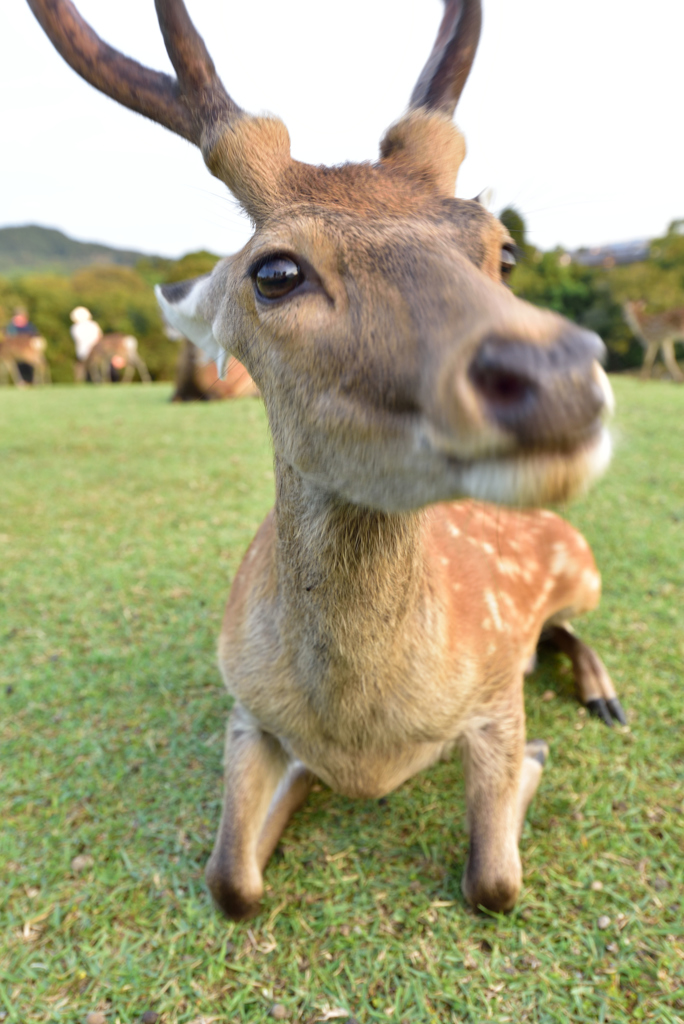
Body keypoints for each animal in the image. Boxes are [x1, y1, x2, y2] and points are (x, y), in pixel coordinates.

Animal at [26, 0, 626, 921]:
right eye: (275, 271)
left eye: (505, 250)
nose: (559, 376)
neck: (362, 731)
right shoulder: (241, 704)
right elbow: (230, 880)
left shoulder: (494, 695)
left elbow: (494, 880)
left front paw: (529, 767)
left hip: (582, 563)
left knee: (567, 626)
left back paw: (602, 695)